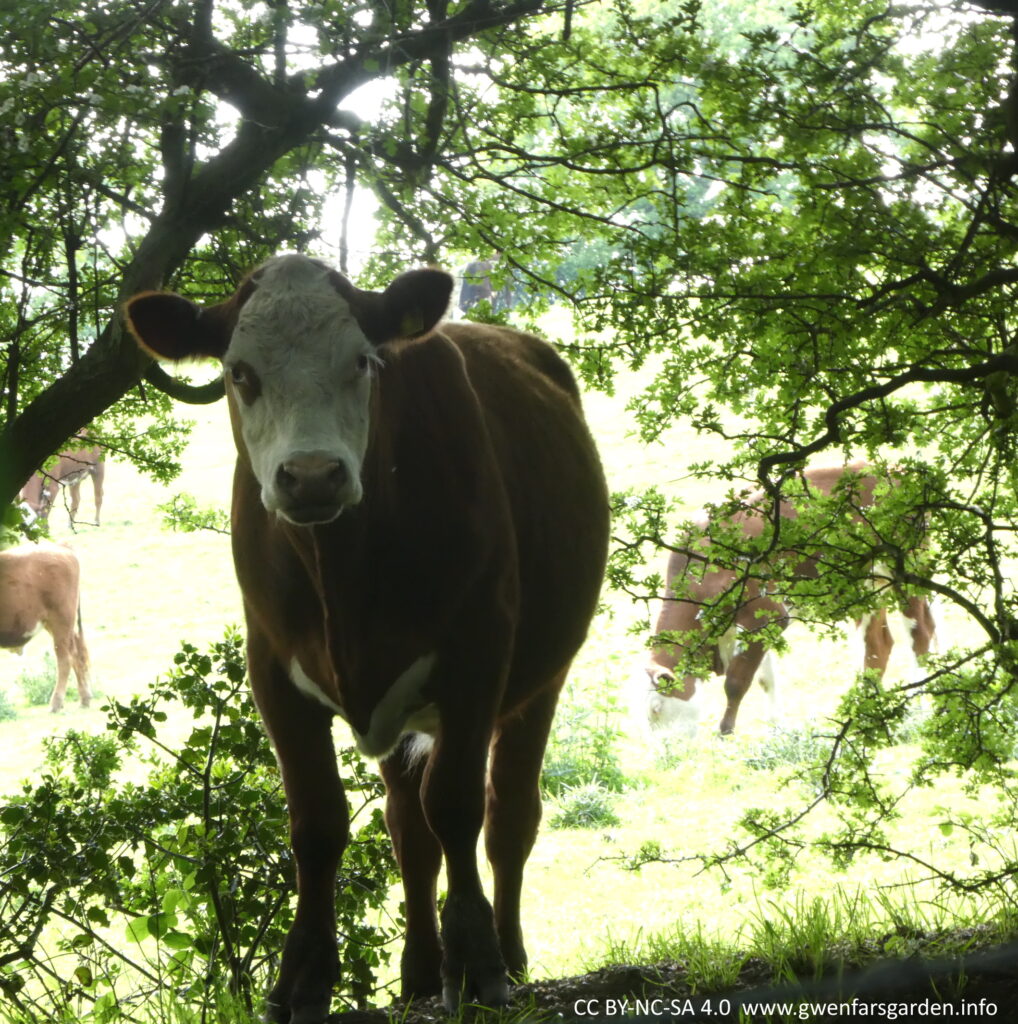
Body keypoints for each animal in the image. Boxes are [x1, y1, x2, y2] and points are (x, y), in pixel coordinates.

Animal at [0, 544, 91, 712]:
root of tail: (62, 547)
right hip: (57, 624)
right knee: (78, 654)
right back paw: (84, 699)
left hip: (61, 621)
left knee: (65, 658)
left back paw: (56, 703)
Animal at [123, 251, 606, 1019]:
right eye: (240, 372)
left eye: (362, 362)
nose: (312, 475)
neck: (343, 574)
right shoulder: (273, 669)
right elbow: (319, 824)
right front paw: (302, 978)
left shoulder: (477, 655)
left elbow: (458, 805)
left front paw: (476, 965)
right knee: (409, 831)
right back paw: (417, 974)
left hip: (541, 679)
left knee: (508, 819)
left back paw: (508, 954)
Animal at [639, 464, 934, 737]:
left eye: (656, 708)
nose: (667, 750)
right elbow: (765, 679)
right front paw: (775, 729)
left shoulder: (765, 613)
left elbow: (736, 682)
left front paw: (725, 732)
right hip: (866, 585)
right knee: (877, 644)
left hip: (907, 567)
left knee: (919, 633)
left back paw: (920, 710)